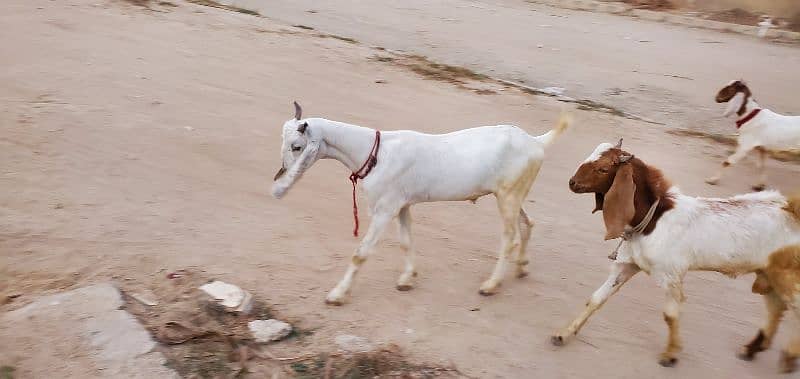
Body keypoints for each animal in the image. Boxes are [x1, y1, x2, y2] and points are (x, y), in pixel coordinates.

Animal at [274, 101, 568, 306]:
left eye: (297, 146)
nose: (281, 176)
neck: (375, 151)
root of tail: (535, 142)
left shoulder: (385, 209)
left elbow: (361, 253)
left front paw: (337, 294)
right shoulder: (402, 205)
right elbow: (406, 241)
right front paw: (407, 279)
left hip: (507, 197)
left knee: (510, 238)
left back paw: (491, 284)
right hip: (513, 194)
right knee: (528, 223)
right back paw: (522, 267)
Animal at [552, 139, 800, 372]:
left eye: (603, 169)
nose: (572, 182)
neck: (654, 219)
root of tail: (790, 208)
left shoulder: (671, 275)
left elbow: (670, 315)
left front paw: (670, 355)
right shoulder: (627, 265)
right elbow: (596, 298)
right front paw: (564, 333)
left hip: (786, 276)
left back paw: (788, 356)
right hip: (769, 274)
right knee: (776, 307)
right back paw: (753, 348)